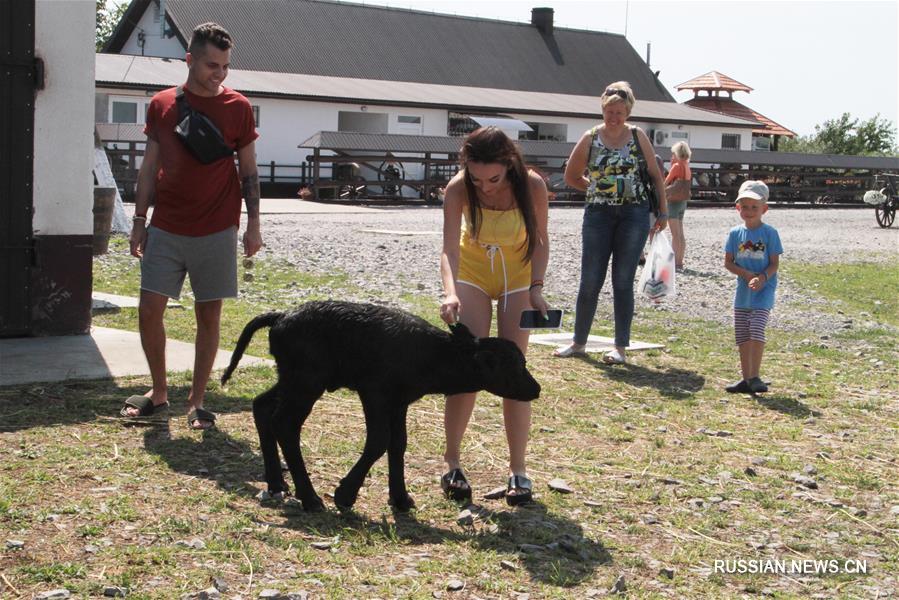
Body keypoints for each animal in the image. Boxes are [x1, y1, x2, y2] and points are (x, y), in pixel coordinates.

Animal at [221, 300, 540, 510]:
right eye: (515, 366)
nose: (536, 389)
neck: (434, 356)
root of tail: (280, 316)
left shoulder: (399, 401)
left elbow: (398, 443)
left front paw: (400, 498)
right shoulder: (374, 391)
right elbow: (378, 440)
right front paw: (345, 495)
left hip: (291, 377)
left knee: (262, 407)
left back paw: (277, 484)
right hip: (306, 381)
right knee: (285, 424)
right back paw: (309, 498)